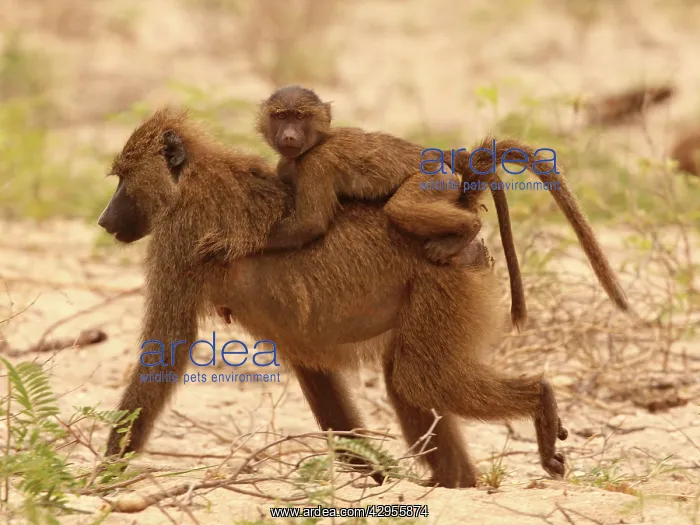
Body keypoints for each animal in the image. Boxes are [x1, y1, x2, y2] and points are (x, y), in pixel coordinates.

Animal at [98, 107, 570, 489]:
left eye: (123, 179)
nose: (104, 220)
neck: (191, 177)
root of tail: (462, 204)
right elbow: (317, 376)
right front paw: (377, 473)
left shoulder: (177, 238)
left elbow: (165, 349)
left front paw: (102, 477)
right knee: (404, 378)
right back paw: (455, 483)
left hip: (444, 280)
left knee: (419, 377)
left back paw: (539, 399)